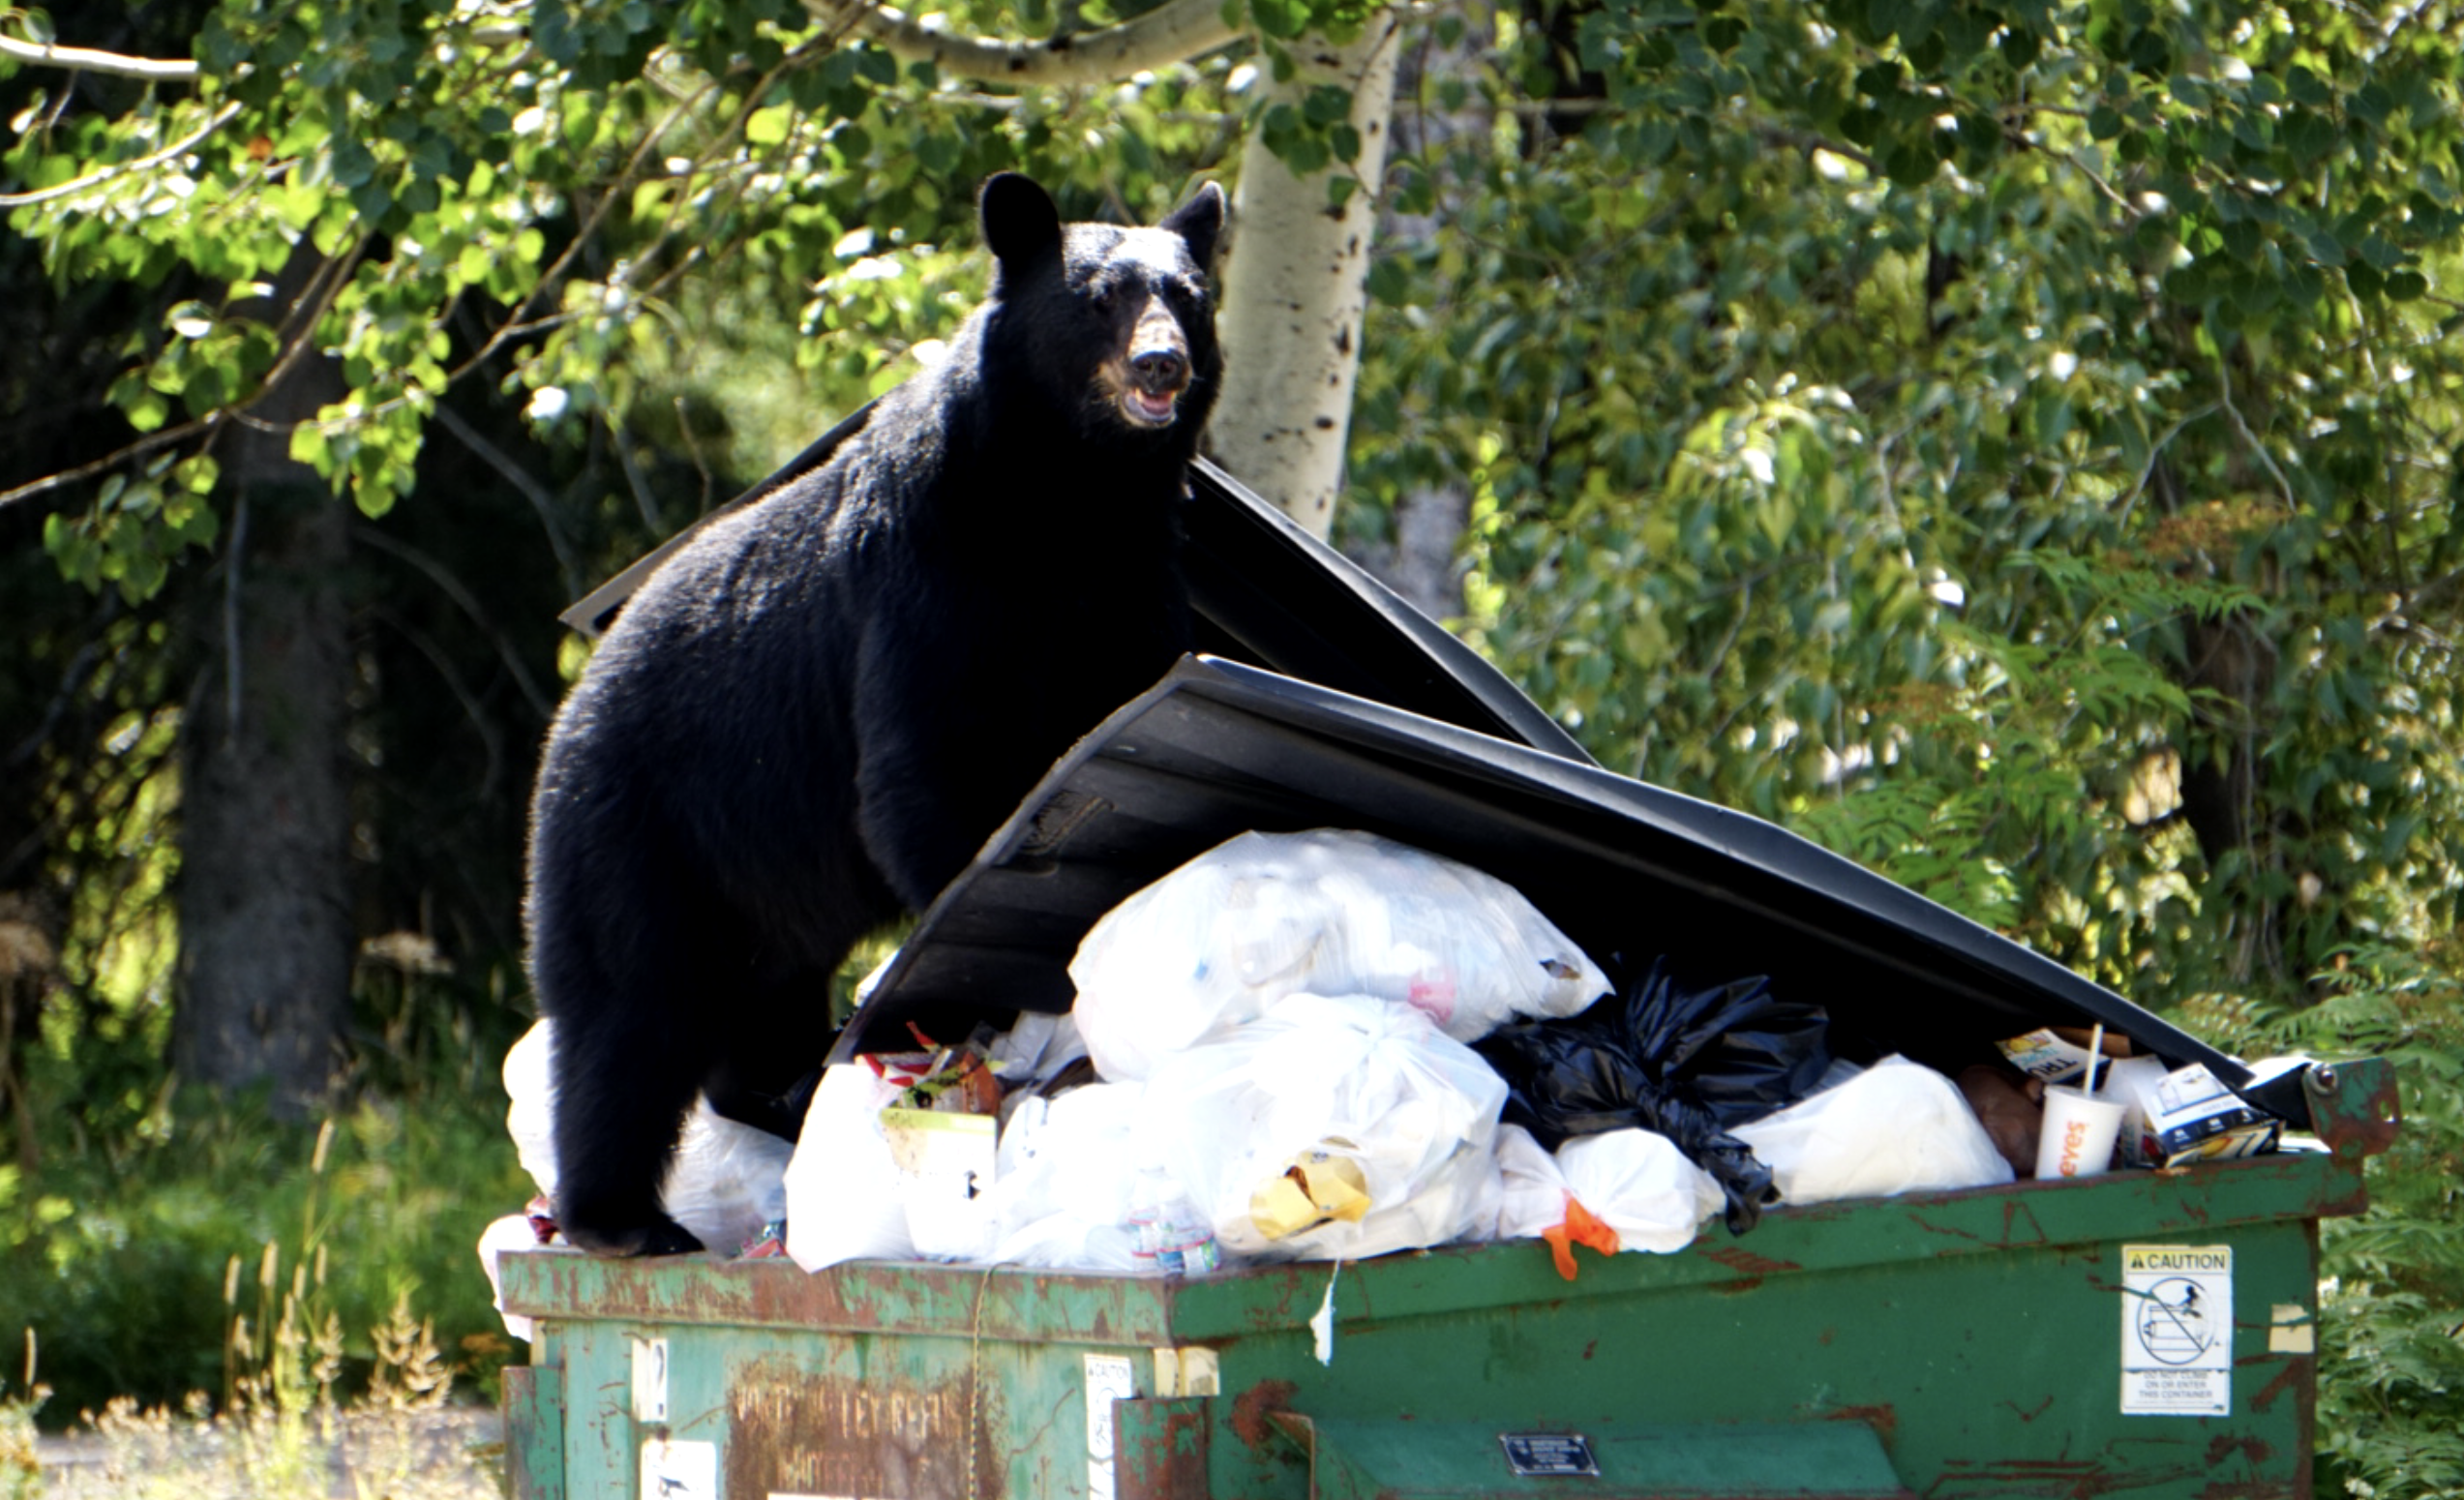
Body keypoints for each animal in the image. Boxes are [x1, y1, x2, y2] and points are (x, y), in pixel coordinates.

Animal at [524, 172, 1226, 1256]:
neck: (1067, 496)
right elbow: (930, 765)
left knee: (756, 993)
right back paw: (624, 1216)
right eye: (1098, 296)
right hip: (644, 825)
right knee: (630, 1009)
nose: (1162, 361)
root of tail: (575, 692)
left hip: (759, 873)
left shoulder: (1132, 579)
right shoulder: (929, 573)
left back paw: (786, 1093)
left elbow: (1130, 701)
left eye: (1186, 293)